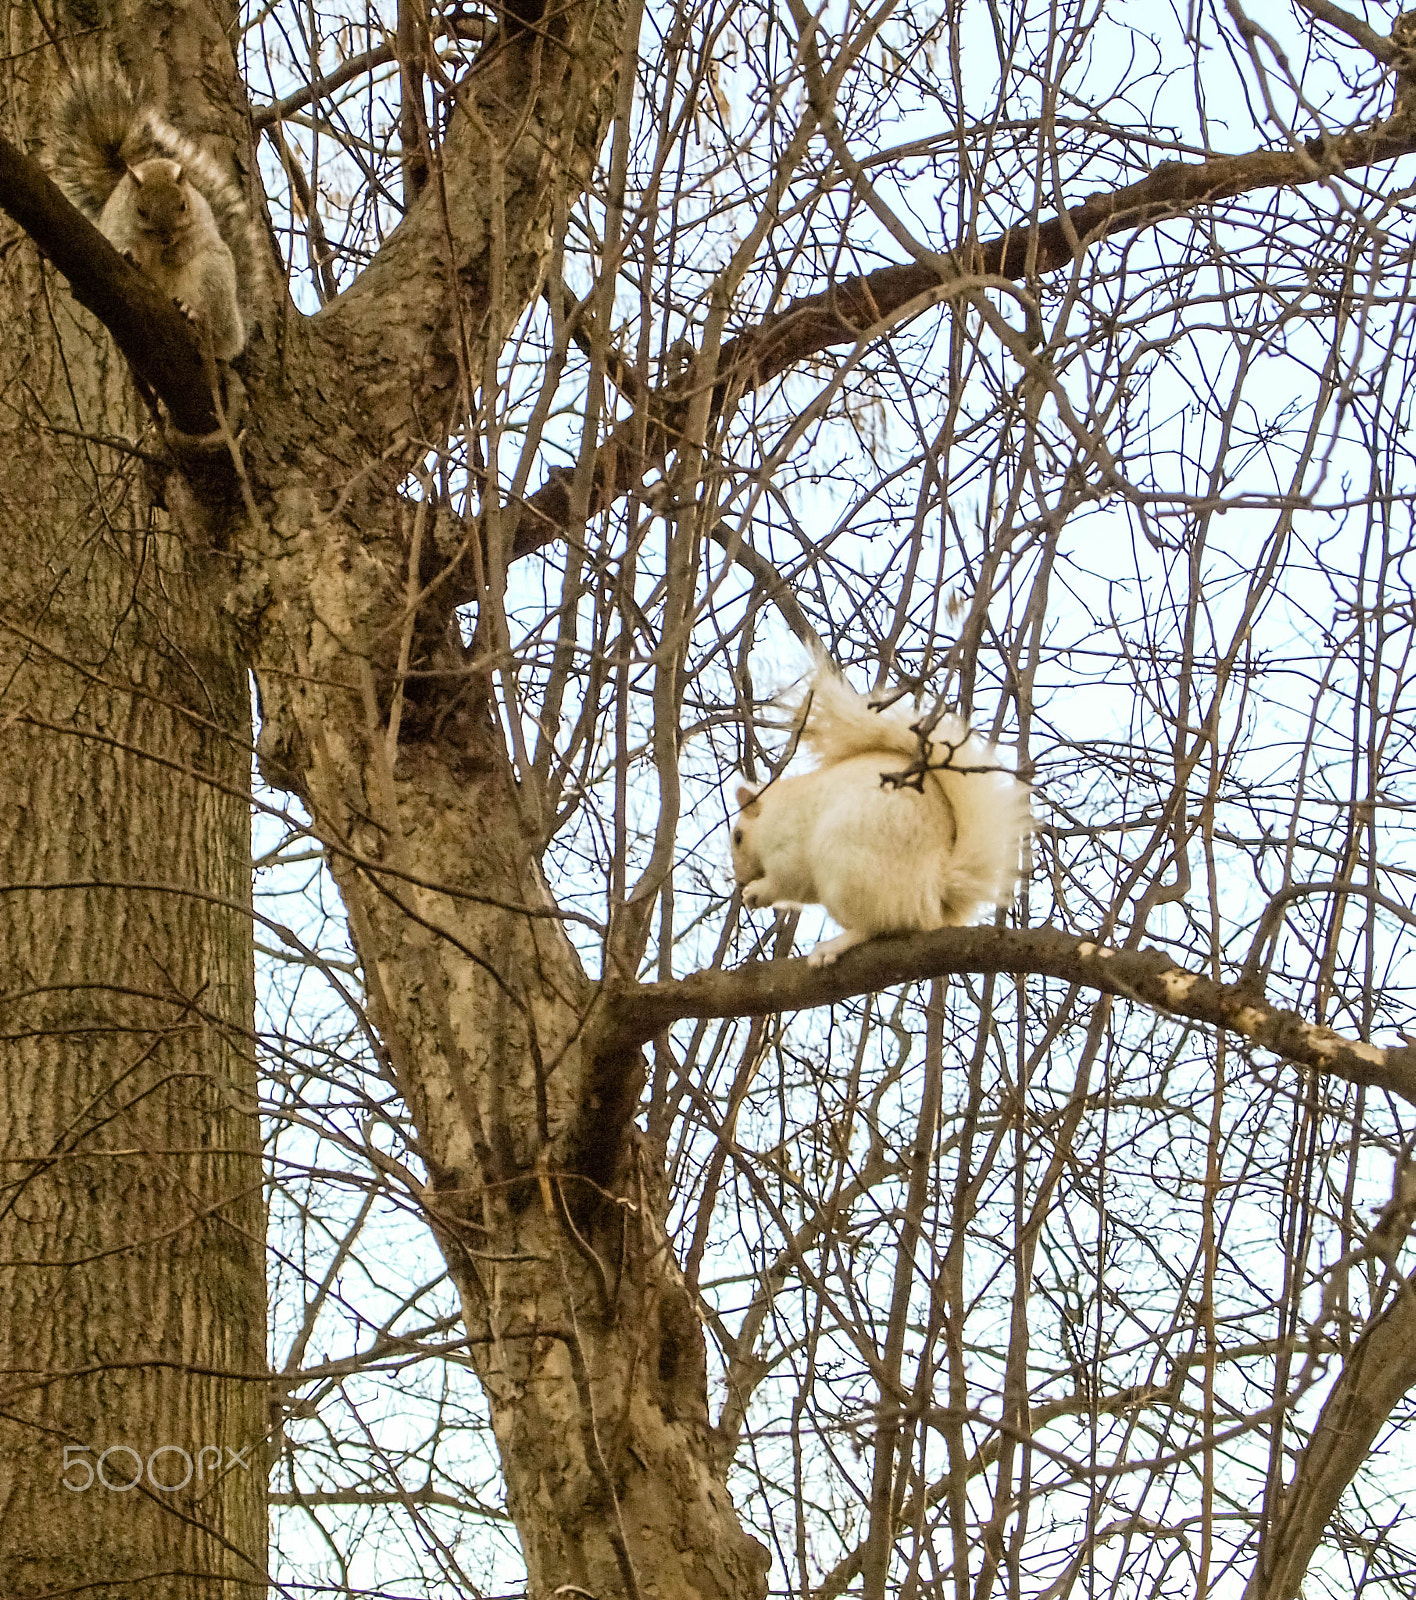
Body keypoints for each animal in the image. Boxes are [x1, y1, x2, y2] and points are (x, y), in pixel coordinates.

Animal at [47, 66, 260, 360]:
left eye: (183, 205)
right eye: (141, 210)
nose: (166, 238)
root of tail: (236, 335)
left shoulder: (201, 222)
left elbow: (193, 243)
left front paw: (174, 254)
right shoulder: (117, 225)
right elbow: (120, 243)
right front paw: (130, 254)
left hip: (212, 279)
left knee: (215, 326)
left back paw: (191, 312)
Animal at [730, 665, 1033, 966]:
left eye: (738, 837)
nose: (740, 879)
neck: (772, 814)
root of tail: (933, 888)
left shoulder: (786, 848)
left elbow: (786, 881)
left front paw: (758, 891)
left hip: (846, 868)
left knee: (874, 926)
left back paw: (831, 947)